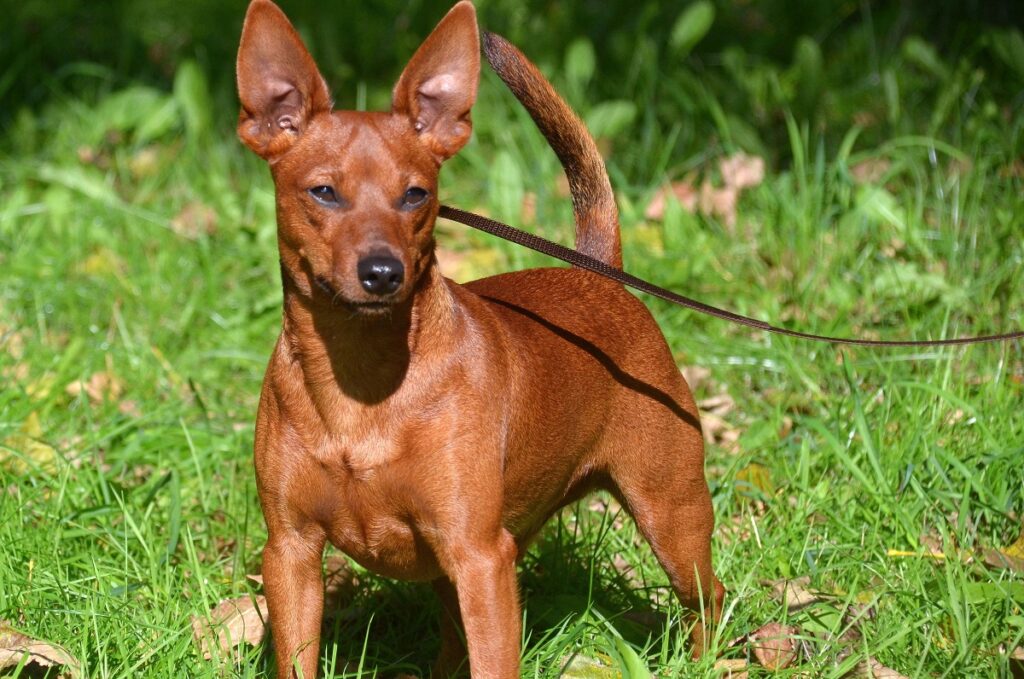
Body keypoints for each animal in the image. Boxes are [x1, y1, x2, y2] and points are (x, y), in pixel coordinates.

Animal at [235, 2, 724, 675]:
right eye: (324, 192)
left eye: (416, 194)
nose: (383, 272)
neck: (361, 381)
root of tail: (597, 272)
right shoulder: (290, 553)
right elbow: (297, 659)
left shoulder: (481, 556)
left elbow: (495, 659)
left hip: (670, 513)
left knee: (708, 596)